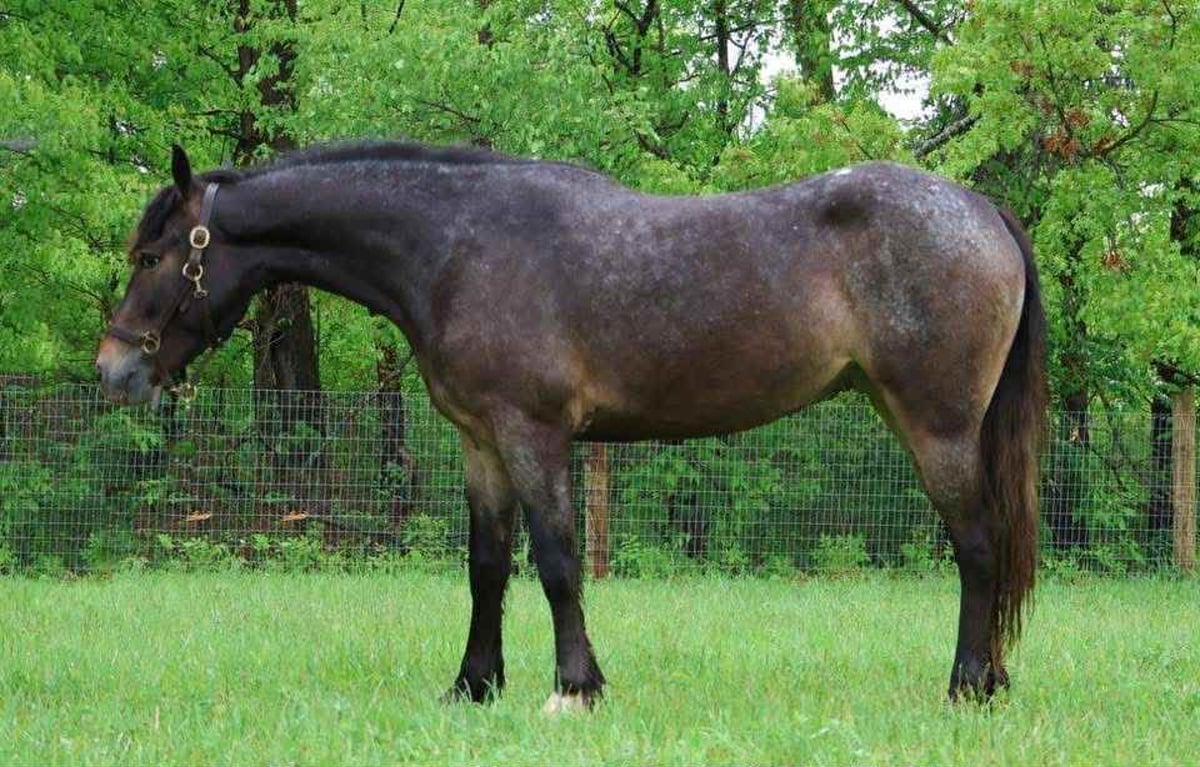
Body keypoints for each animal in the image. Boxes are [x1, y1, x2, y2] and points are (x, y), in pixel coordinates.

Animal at [97, 142, 1046, 709]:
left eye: (153, 255)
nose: (114, 369)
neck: (456, 246)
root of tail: (980, 207)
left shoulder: (533, 433)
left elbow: (556, 561)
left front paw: (574, 687)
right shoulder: (480, 440)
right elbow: (486, 568)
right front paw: (474, 687)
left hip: (937, 427)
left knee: (978, 548)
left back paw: (968, 686)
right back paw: (995, 679)